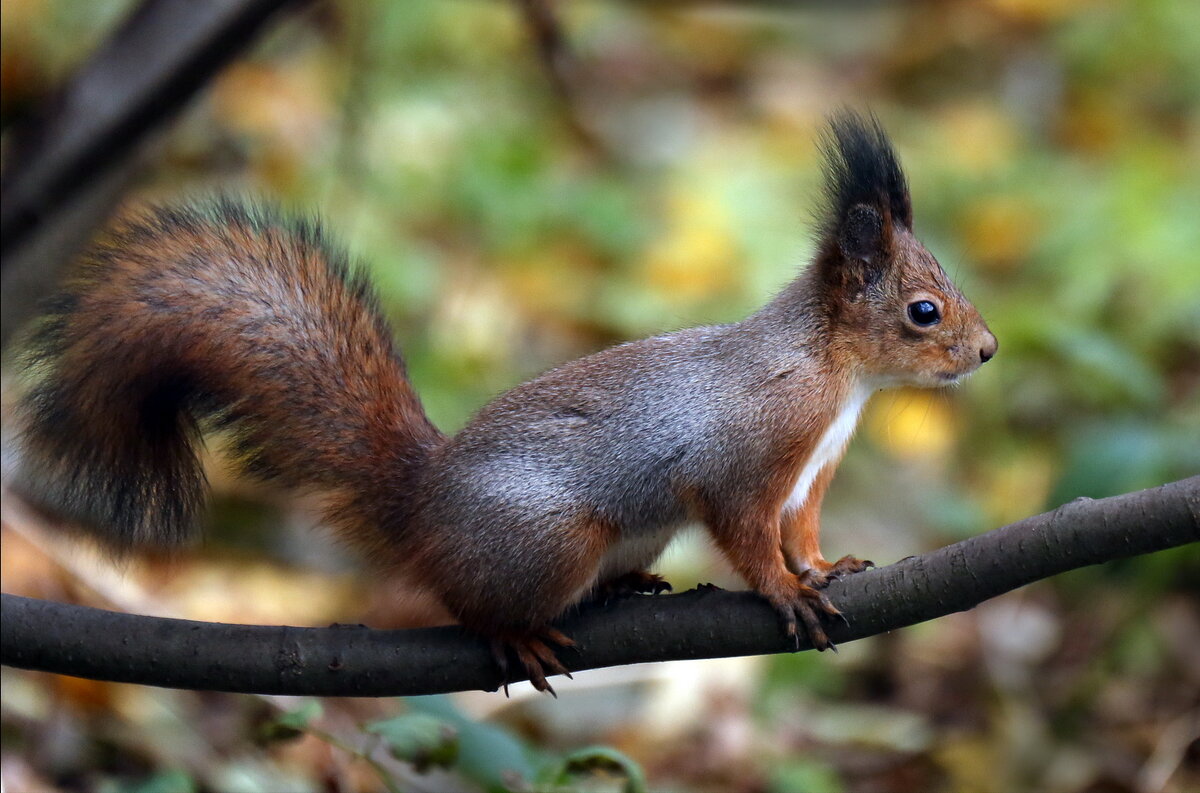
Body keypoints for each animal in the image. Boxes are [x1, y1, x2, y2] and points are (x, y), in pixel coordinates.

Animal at [14, 111, 993, 691]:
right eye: (924, 311)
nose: (985, 350)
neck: (837, 375)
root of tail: (419, 506)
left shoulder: (809, 473)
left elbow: (798, 529)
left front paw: (823, 568)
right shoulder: (750, 451)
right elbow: (746, 528)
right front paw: (785, 592)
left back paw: (627, 586)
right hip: (547, 540)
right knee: (470, 602)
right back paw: (518, 633)